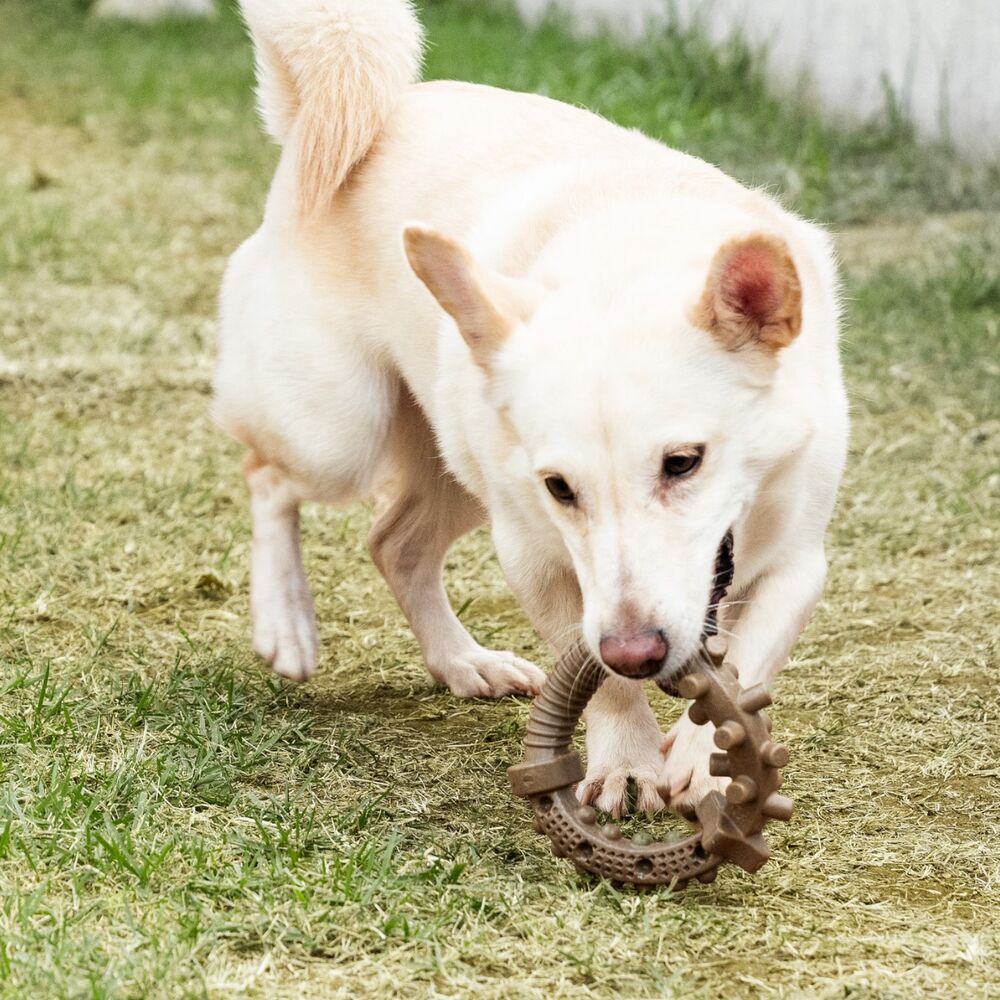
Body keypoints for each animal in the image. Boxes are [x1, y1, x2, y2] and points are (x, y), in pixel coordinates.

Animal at [215, 0, 848, 816]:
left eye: (683, 463)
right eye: (561, 488)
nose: (638, 651)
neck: (629, 254)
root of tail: (312, 124)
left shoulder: (799, 560)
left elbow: (748, 659)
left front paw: (706, 761)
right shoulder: (534, 554)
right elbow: (604, 683)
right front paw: (628, 763)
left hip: (454, 468)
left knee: (394, 542)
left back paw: (462, 663)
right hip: (340, 434)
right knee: (268, 477)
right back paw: (286, 624)